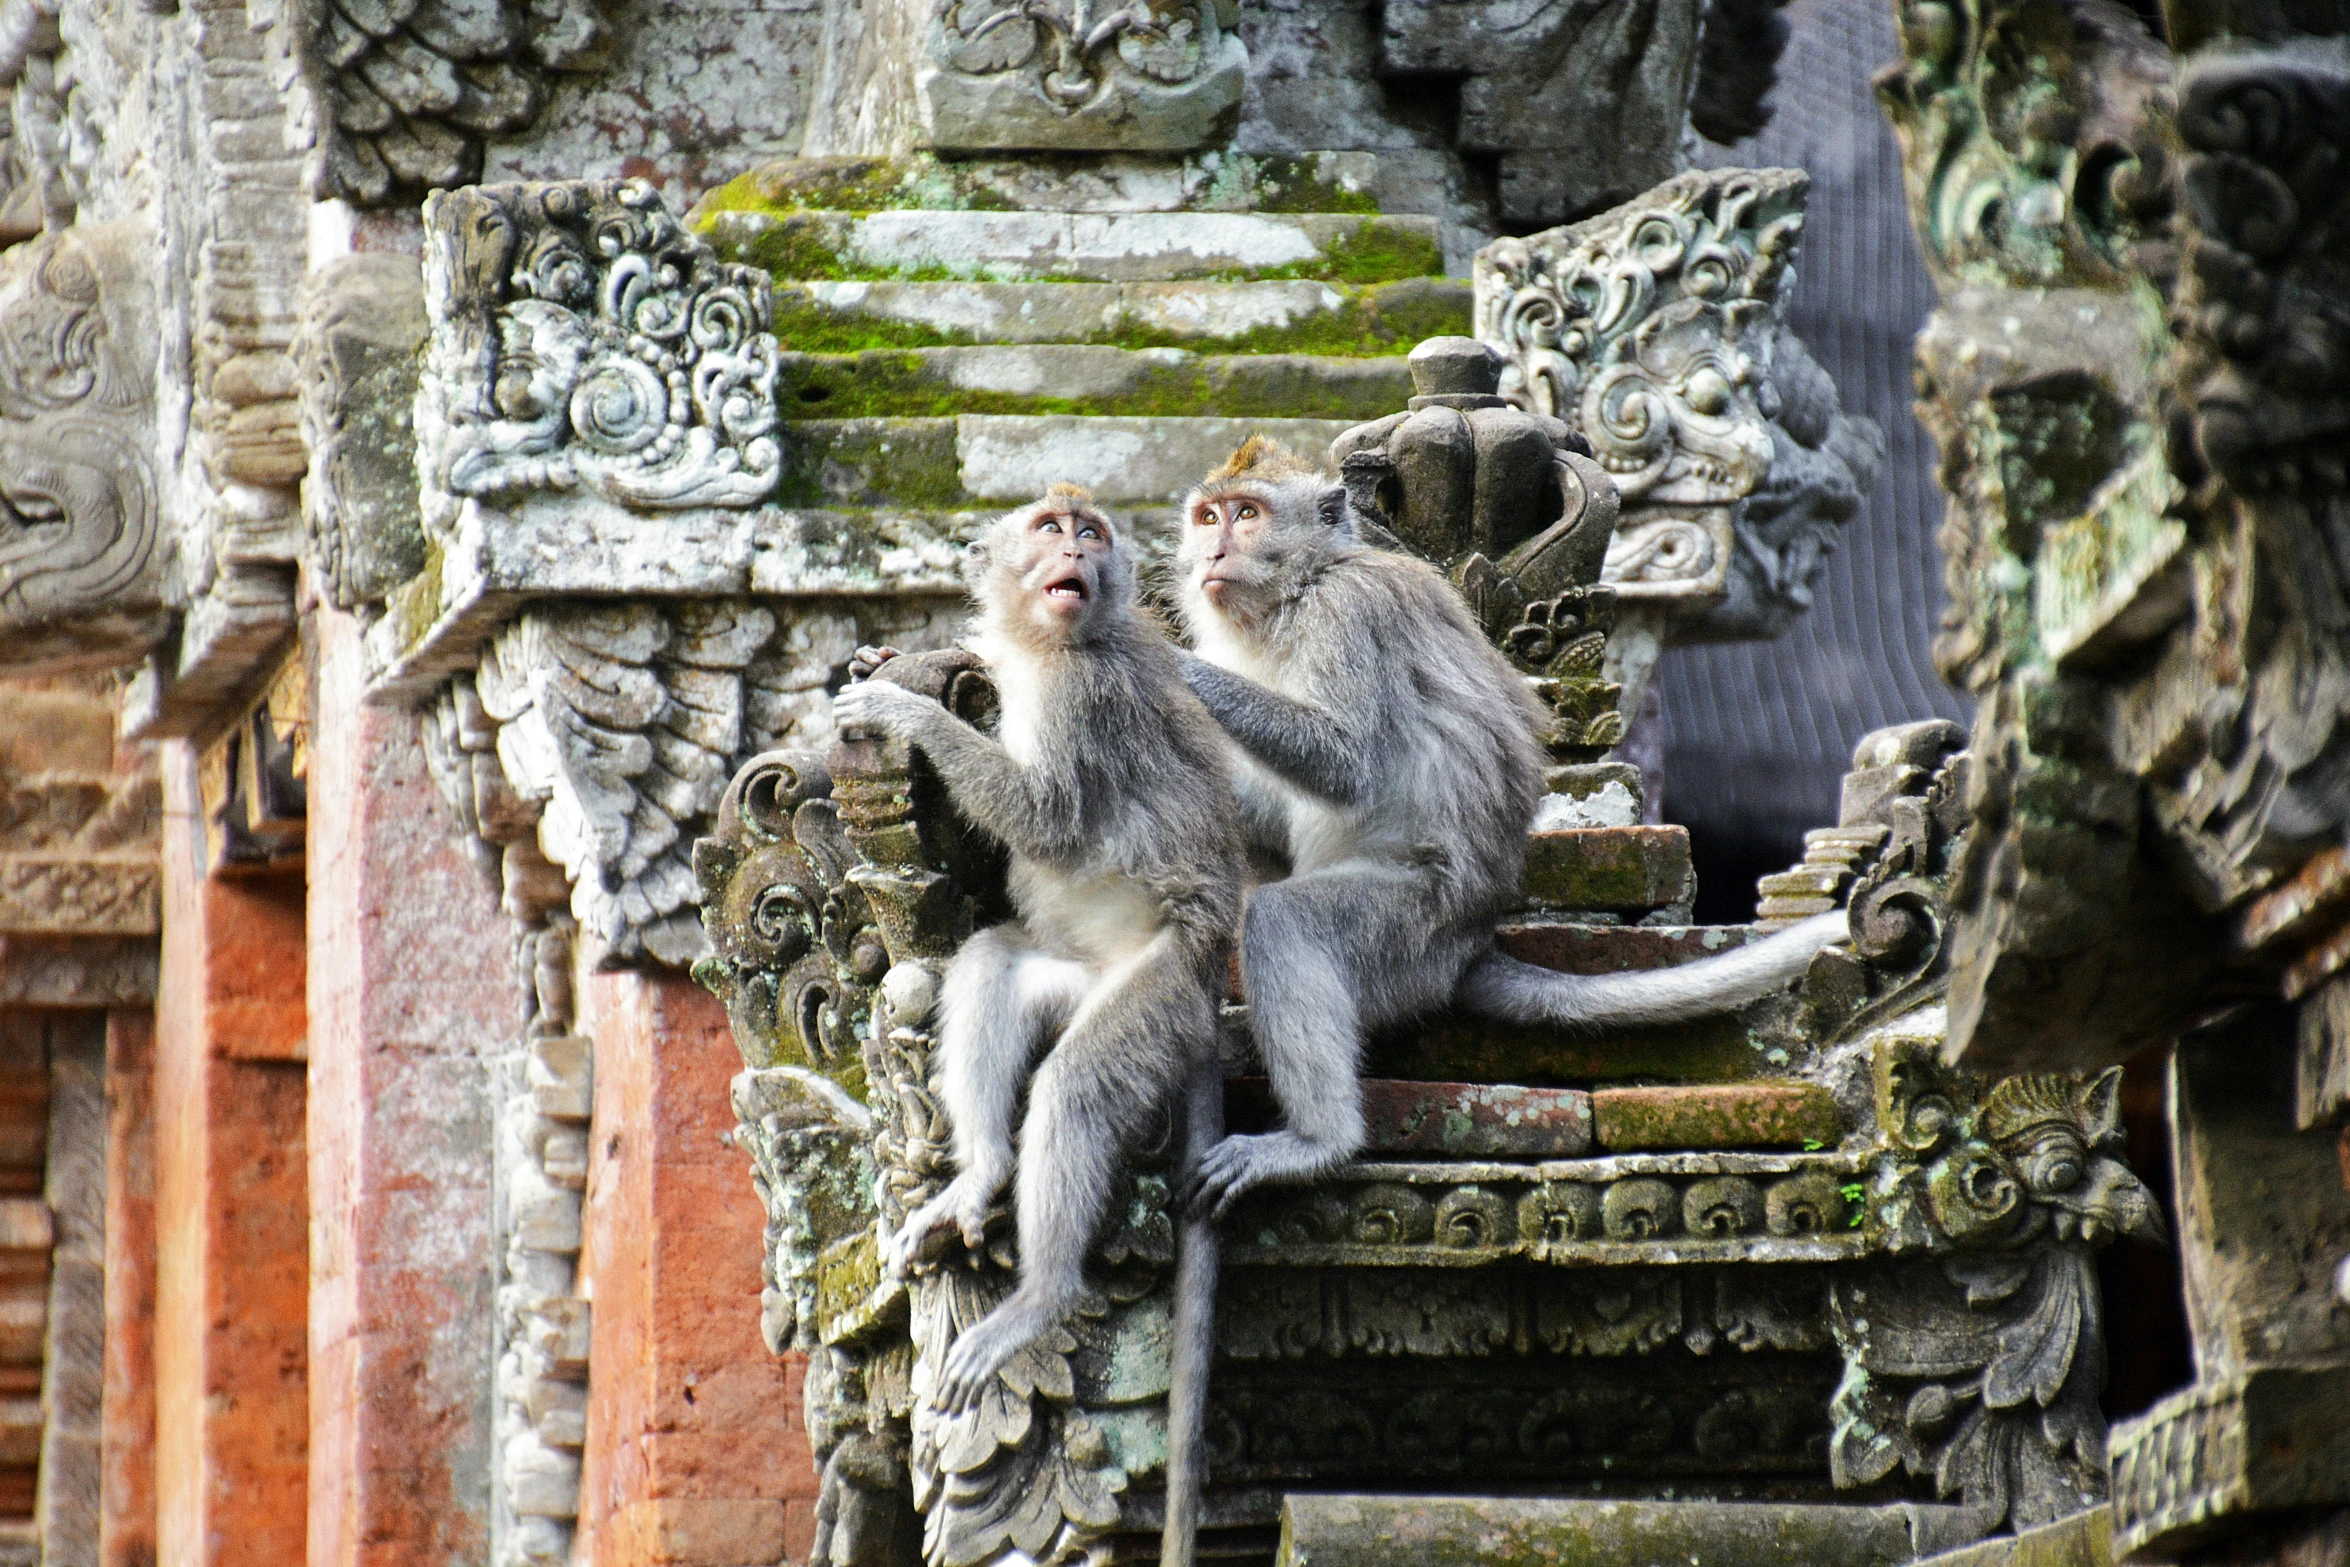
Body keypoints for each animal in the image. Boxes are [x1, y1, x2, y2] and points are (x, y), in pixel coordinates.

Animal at [827, 483, 1231, 1559]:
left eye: (1092, 533)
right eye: (1055, 530)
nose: (1078, 550)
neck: (1047, 641)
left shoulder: (1077, 692)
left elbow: (1045, 812)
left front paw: (907, 709)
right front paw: (887, 659)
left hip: (1160, 995)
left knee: (1082, 1085)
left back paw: (1037, 1298)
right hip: (1078, 975)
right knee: (991, 967)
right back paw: (979, 1177)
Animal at [1175, 434, 1851, 1221]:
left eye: (1247, 515)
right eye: (1208, 516)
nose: (1212, 552)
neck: (1298, 589)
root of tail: (1470, 943)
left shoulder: (1349, 615)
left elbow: (1344, 761)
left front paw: (1171, 666)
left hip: (1410, 929)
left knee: (1289, 921)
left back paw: (1318, 1141)